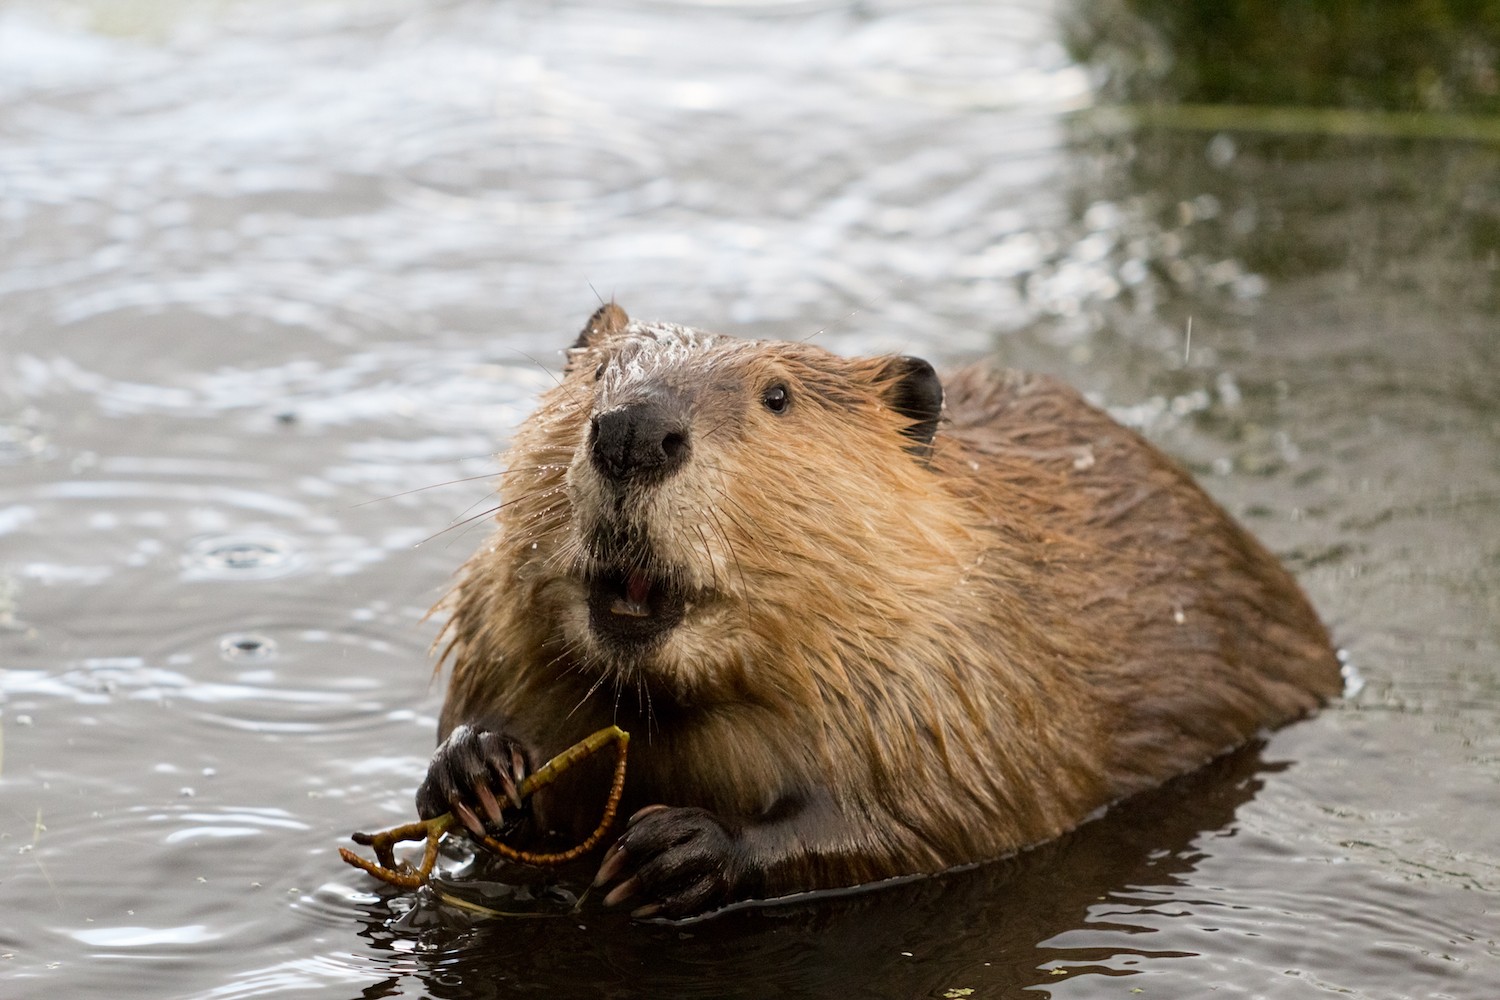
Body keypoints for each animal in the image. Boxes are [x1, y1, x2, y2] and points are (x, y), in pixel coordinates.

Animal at [417, 305, 1344, 923]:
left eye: (778, 396)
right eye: (598, 374)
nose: (636, 433)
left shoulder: (963, 674)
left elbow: (943, 818)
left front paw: (675, 850)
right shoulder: (493, 629)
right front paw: (477, 768)